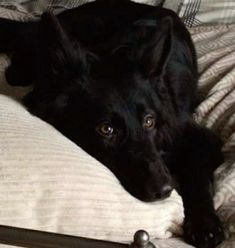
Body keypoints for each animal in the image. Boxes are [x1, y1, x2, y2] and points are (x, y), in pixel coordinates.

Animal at [0, 0, 225, 247]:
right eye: (106, 129)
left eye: (149, 121)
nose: (165, 190)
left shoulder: (201, 138)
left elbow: (198, 177)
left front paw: (204, 222)